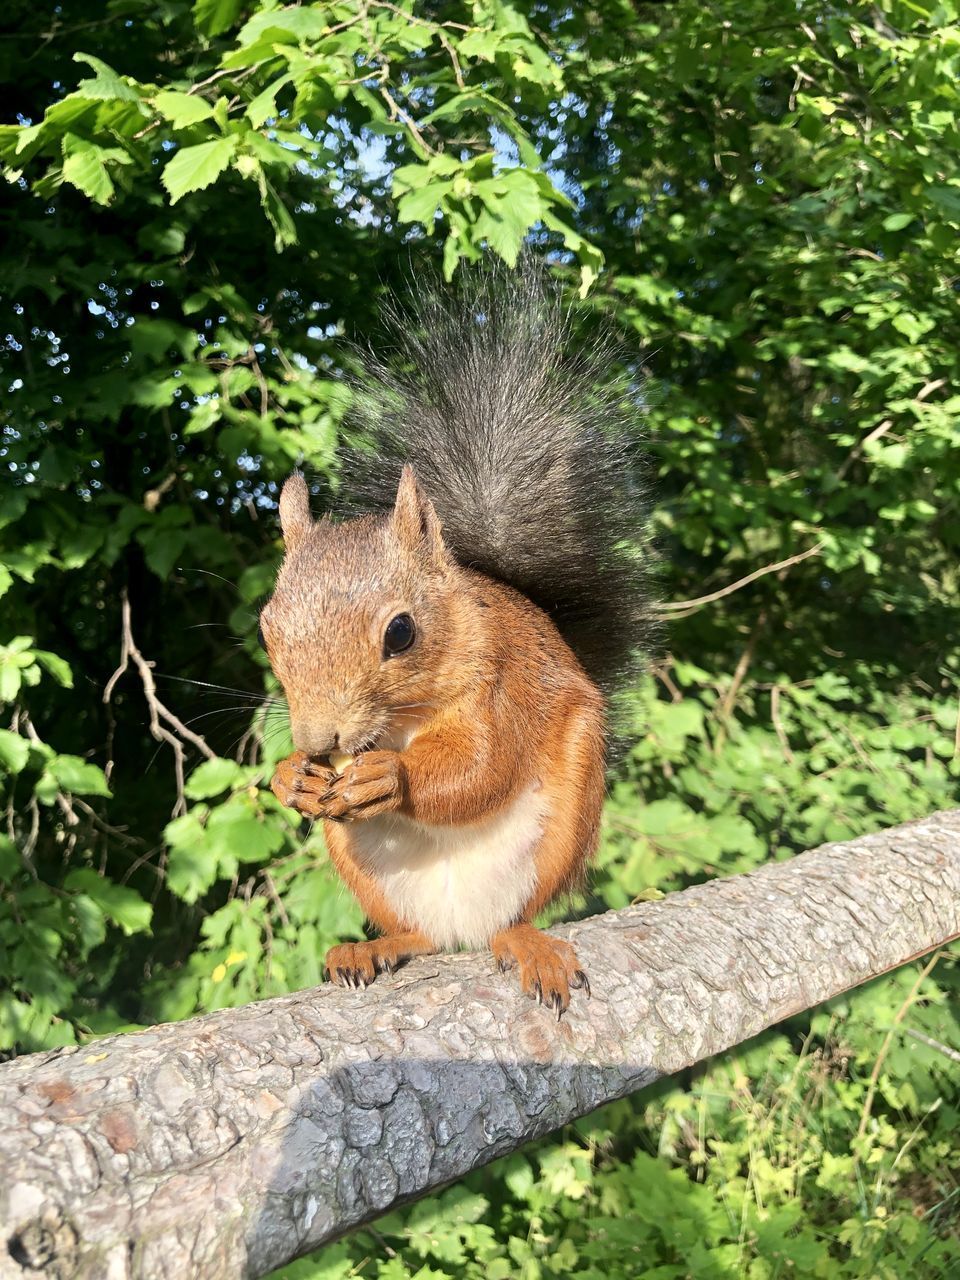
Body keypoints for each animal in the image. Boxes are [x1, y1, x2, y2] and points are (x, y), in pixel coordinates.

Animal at [263, 264, 650, 1013]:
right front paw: (290, 776)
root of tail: (462, 924)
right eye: (266, 628)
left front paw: (391, 777)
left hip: (566, 818)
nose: (319, 743)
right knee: (415, 932)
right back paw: (375, 947)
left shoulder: (499, 683)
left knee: (519, 913)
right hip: (367, 874)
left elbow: (482, 766)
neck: (399, 722)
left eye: (401, 632)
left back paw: (527, 944)